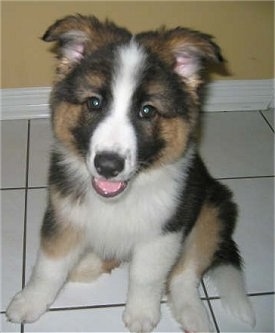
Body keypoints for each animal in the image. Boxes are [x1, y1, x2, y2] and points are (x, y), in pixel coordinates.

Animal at [6, 14, 256, 330]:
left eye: (147, 111)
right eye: (94, 102)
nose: (108, 166)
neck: (120, 197)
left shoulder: (164, 230)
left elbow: (146, 276)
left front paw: (141, 314)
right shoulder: (63, 215)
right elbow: (49, 266)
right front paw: (28, 303)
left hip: (213, 210)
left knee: (184, 273)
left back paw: (194, 316)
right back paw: (84, 264)